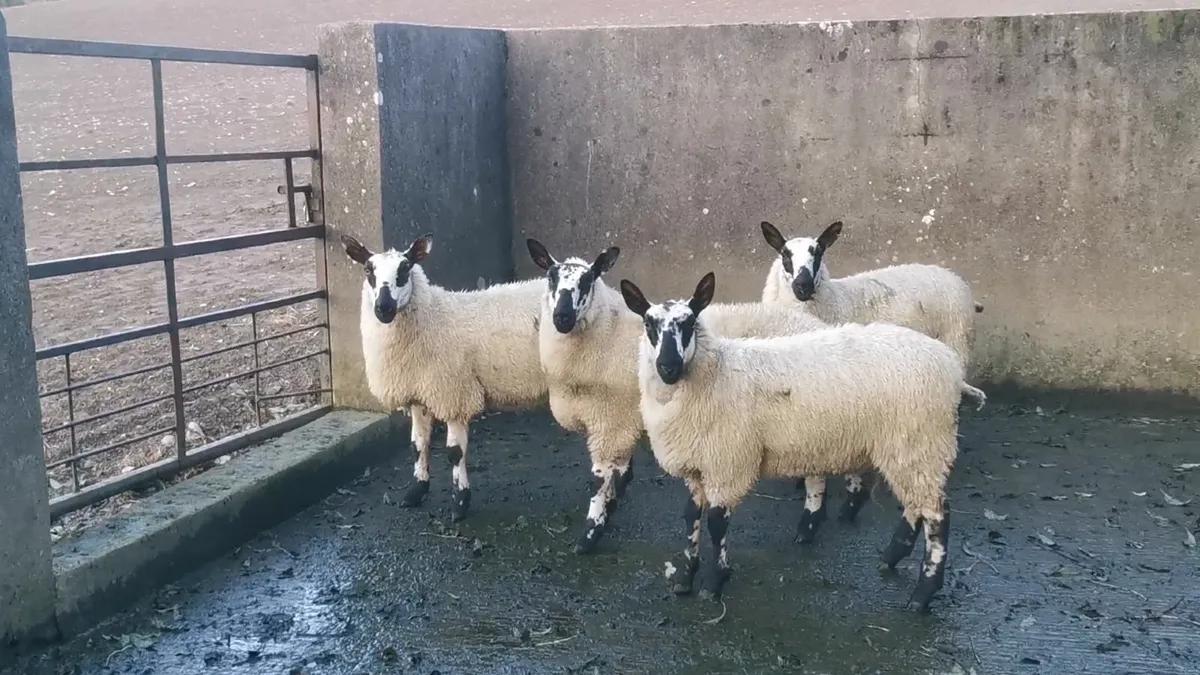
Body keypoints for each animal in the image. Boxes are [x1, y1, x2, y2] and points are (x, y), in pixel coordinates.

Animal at [341, 233, 547, 522]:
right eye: (368, 270)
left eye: (405, 268)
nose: (384, 308)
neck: (435, 317)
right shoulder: (417, 392)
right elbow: (417, 445)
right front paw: (416, 491)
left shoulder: (453, 392)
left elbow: (454, 452)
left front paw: (460, 502)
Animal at [525, 238, 836, 553]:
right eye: (551, 278)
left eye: (587, 280)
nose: (562, 318)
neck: (606, 334)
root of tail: (815, 324)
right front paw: (611, 504)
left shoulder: (611, 420)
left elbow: (599, 478)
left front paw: (590, 533)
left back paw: (809, 524)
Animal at [619, 271, 986, 612]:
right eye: (649, 325)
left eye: (690, 322)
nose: (668, 367)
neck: (717, 372)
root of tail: (951, 369)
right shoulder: (699, 463)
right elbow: (690, 516)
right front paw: (685, 577)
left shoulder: (728, 462)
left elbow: (717, 523)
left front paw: (714, 581)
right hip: (910, 446)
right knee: (916, 504)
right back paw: (893, 555)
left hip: (922, 439)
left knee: (937, 515)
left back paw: (923, 594)